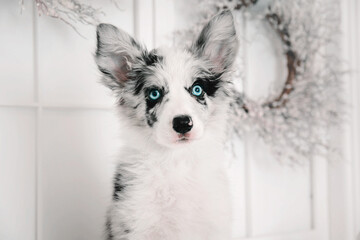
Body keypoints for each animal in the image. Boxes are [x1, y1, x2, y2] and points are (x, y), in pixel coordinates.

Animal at [95, 9, 239, 240]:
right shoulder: (134, 220)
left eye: (197, 89)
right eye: (154, 93)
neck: (175, 160)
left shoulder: (214, 223)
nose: (183, 123)